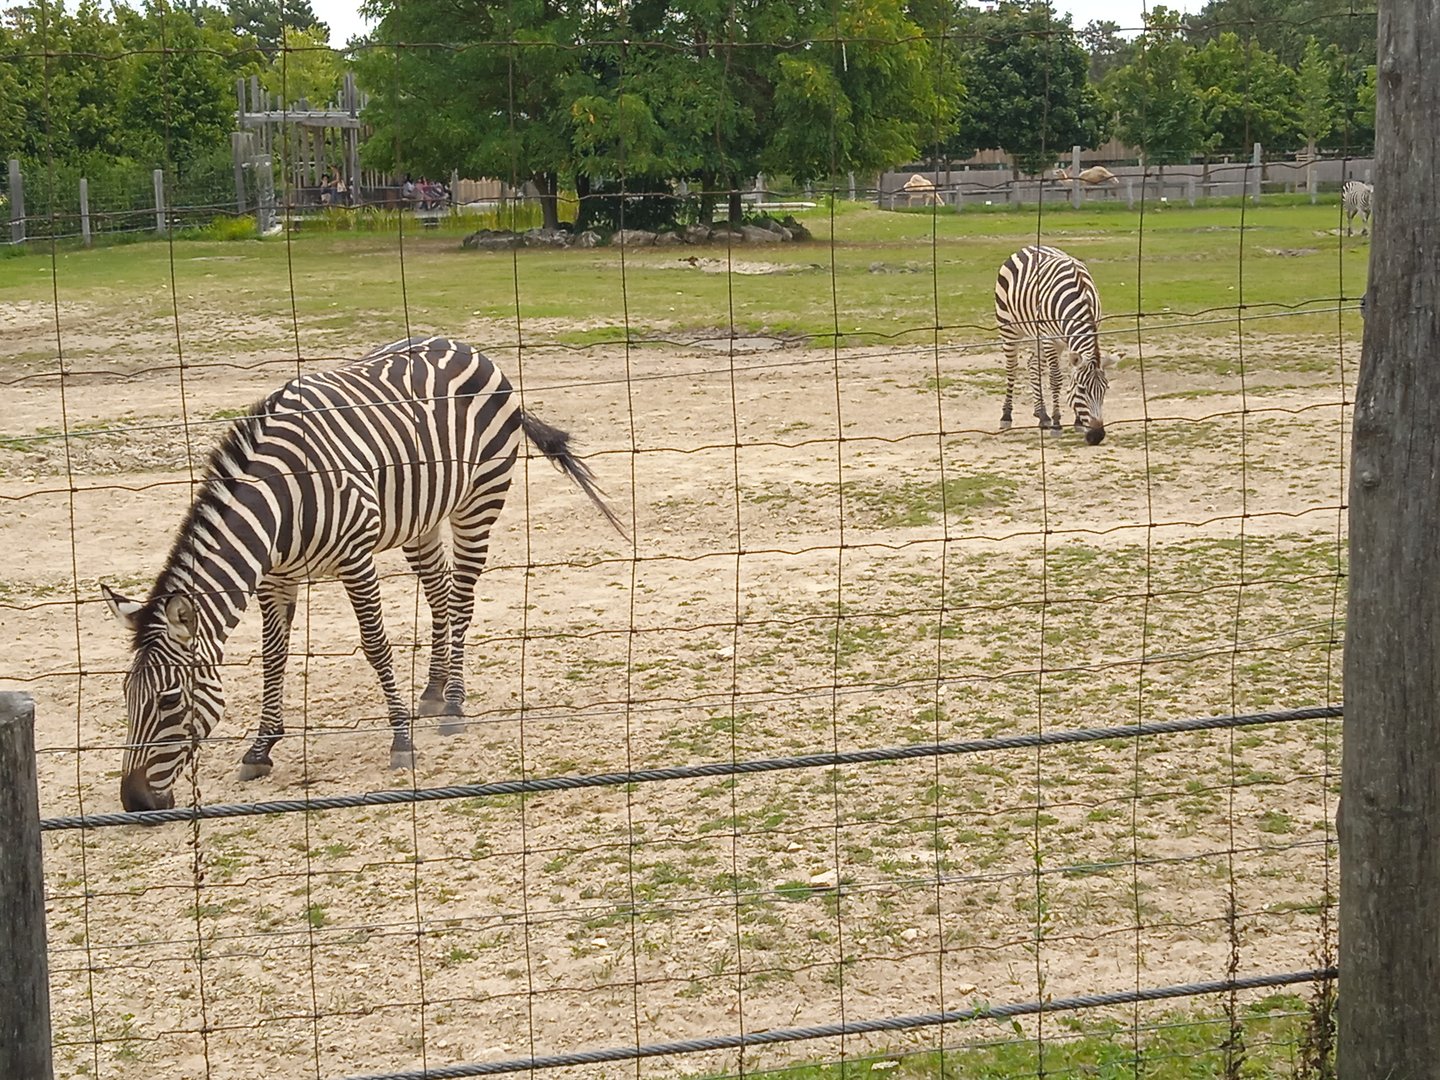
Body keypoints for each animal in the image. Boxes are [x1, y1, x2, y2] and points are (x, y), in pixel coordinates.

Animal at [102, 336, 624, 813]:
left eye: (169, 700)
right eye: (127, 697)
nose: (134, 802)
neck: (281, 501)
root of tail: (467, 346)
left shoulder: (356, 558)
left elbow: (376, 646)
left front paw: (401, 740)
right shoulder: (275, 578)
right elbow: (274, 658)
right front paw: (260, 749)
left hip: (479, 499)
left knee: (461, 596)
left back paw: (454, 703)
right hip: (420, 516)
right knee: (439, 592)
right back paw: (432, 691)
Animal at [995, 245, 1119, 445]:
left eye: (1105, 390)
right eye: (1082, 390)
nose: (1097, 436)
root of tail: (1027, 247)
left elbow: (1071, 374)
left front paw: (1077, 421)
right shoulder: (1049, 337)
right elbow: (1055, 379)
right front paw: (1057, 424)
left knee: (1033, 364)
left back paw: (1042, 415)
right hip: (1009, 328)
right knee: (1012, 368)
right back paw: (1007, 416)